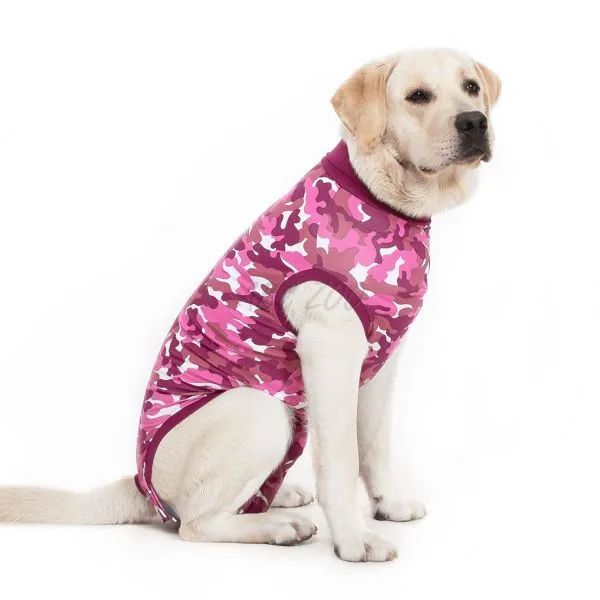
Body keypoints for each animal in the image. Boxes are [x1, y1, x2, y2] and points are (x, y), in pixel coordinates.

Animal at [0, 49, 500, 562]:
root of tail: (139, 484)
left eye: (471, 87)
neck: (385, 200)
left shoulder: (381, 360)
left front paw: (389, 504)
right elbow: (341, 460)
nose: (474, 121)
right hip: (260, 408)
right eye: (418, 96)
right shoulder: (330, 351)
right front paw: (354, 539)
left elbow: (375, 444)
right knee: (195, 523)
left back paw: (280, 498)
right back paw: (279, 527)